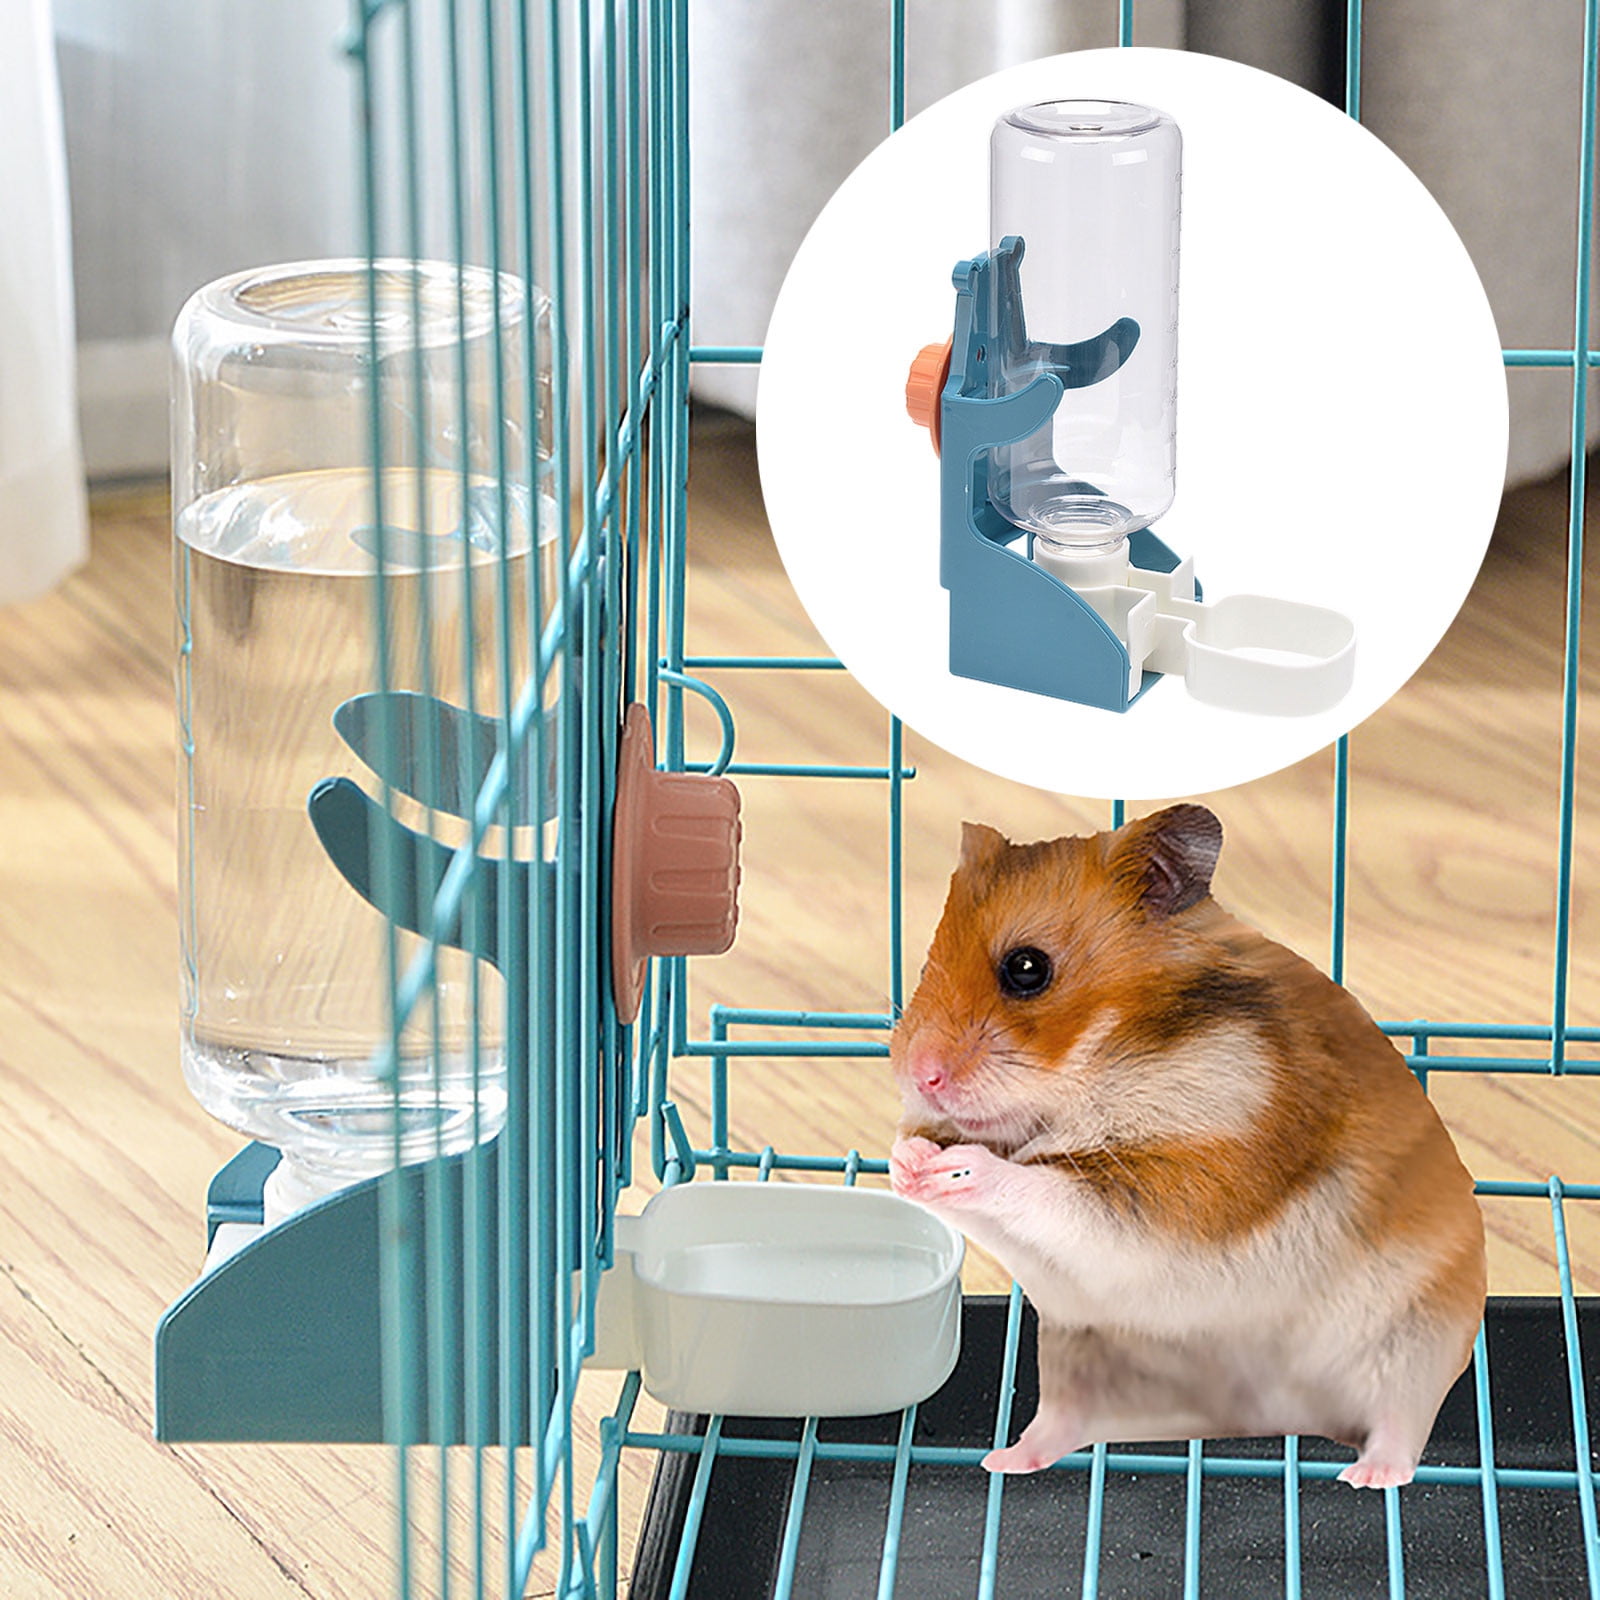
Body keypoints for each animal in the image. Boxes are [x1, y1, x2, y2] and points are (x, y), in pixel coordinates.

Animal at [888, 804, 1485, 1488]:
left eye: (1026, 968)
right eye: (926, 963)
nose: (920, 1076)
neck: (1103, 1067)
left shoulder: (1189, 1186)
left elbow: (1048, 1188)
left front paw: (957, 1168)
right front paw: (907, 1164)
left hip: (1413, 1347)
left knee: (1401, 1428)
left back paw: (1364, 1475)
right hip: (1081, 1355)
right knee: (1062, 1423)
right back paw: (1005, 1460)